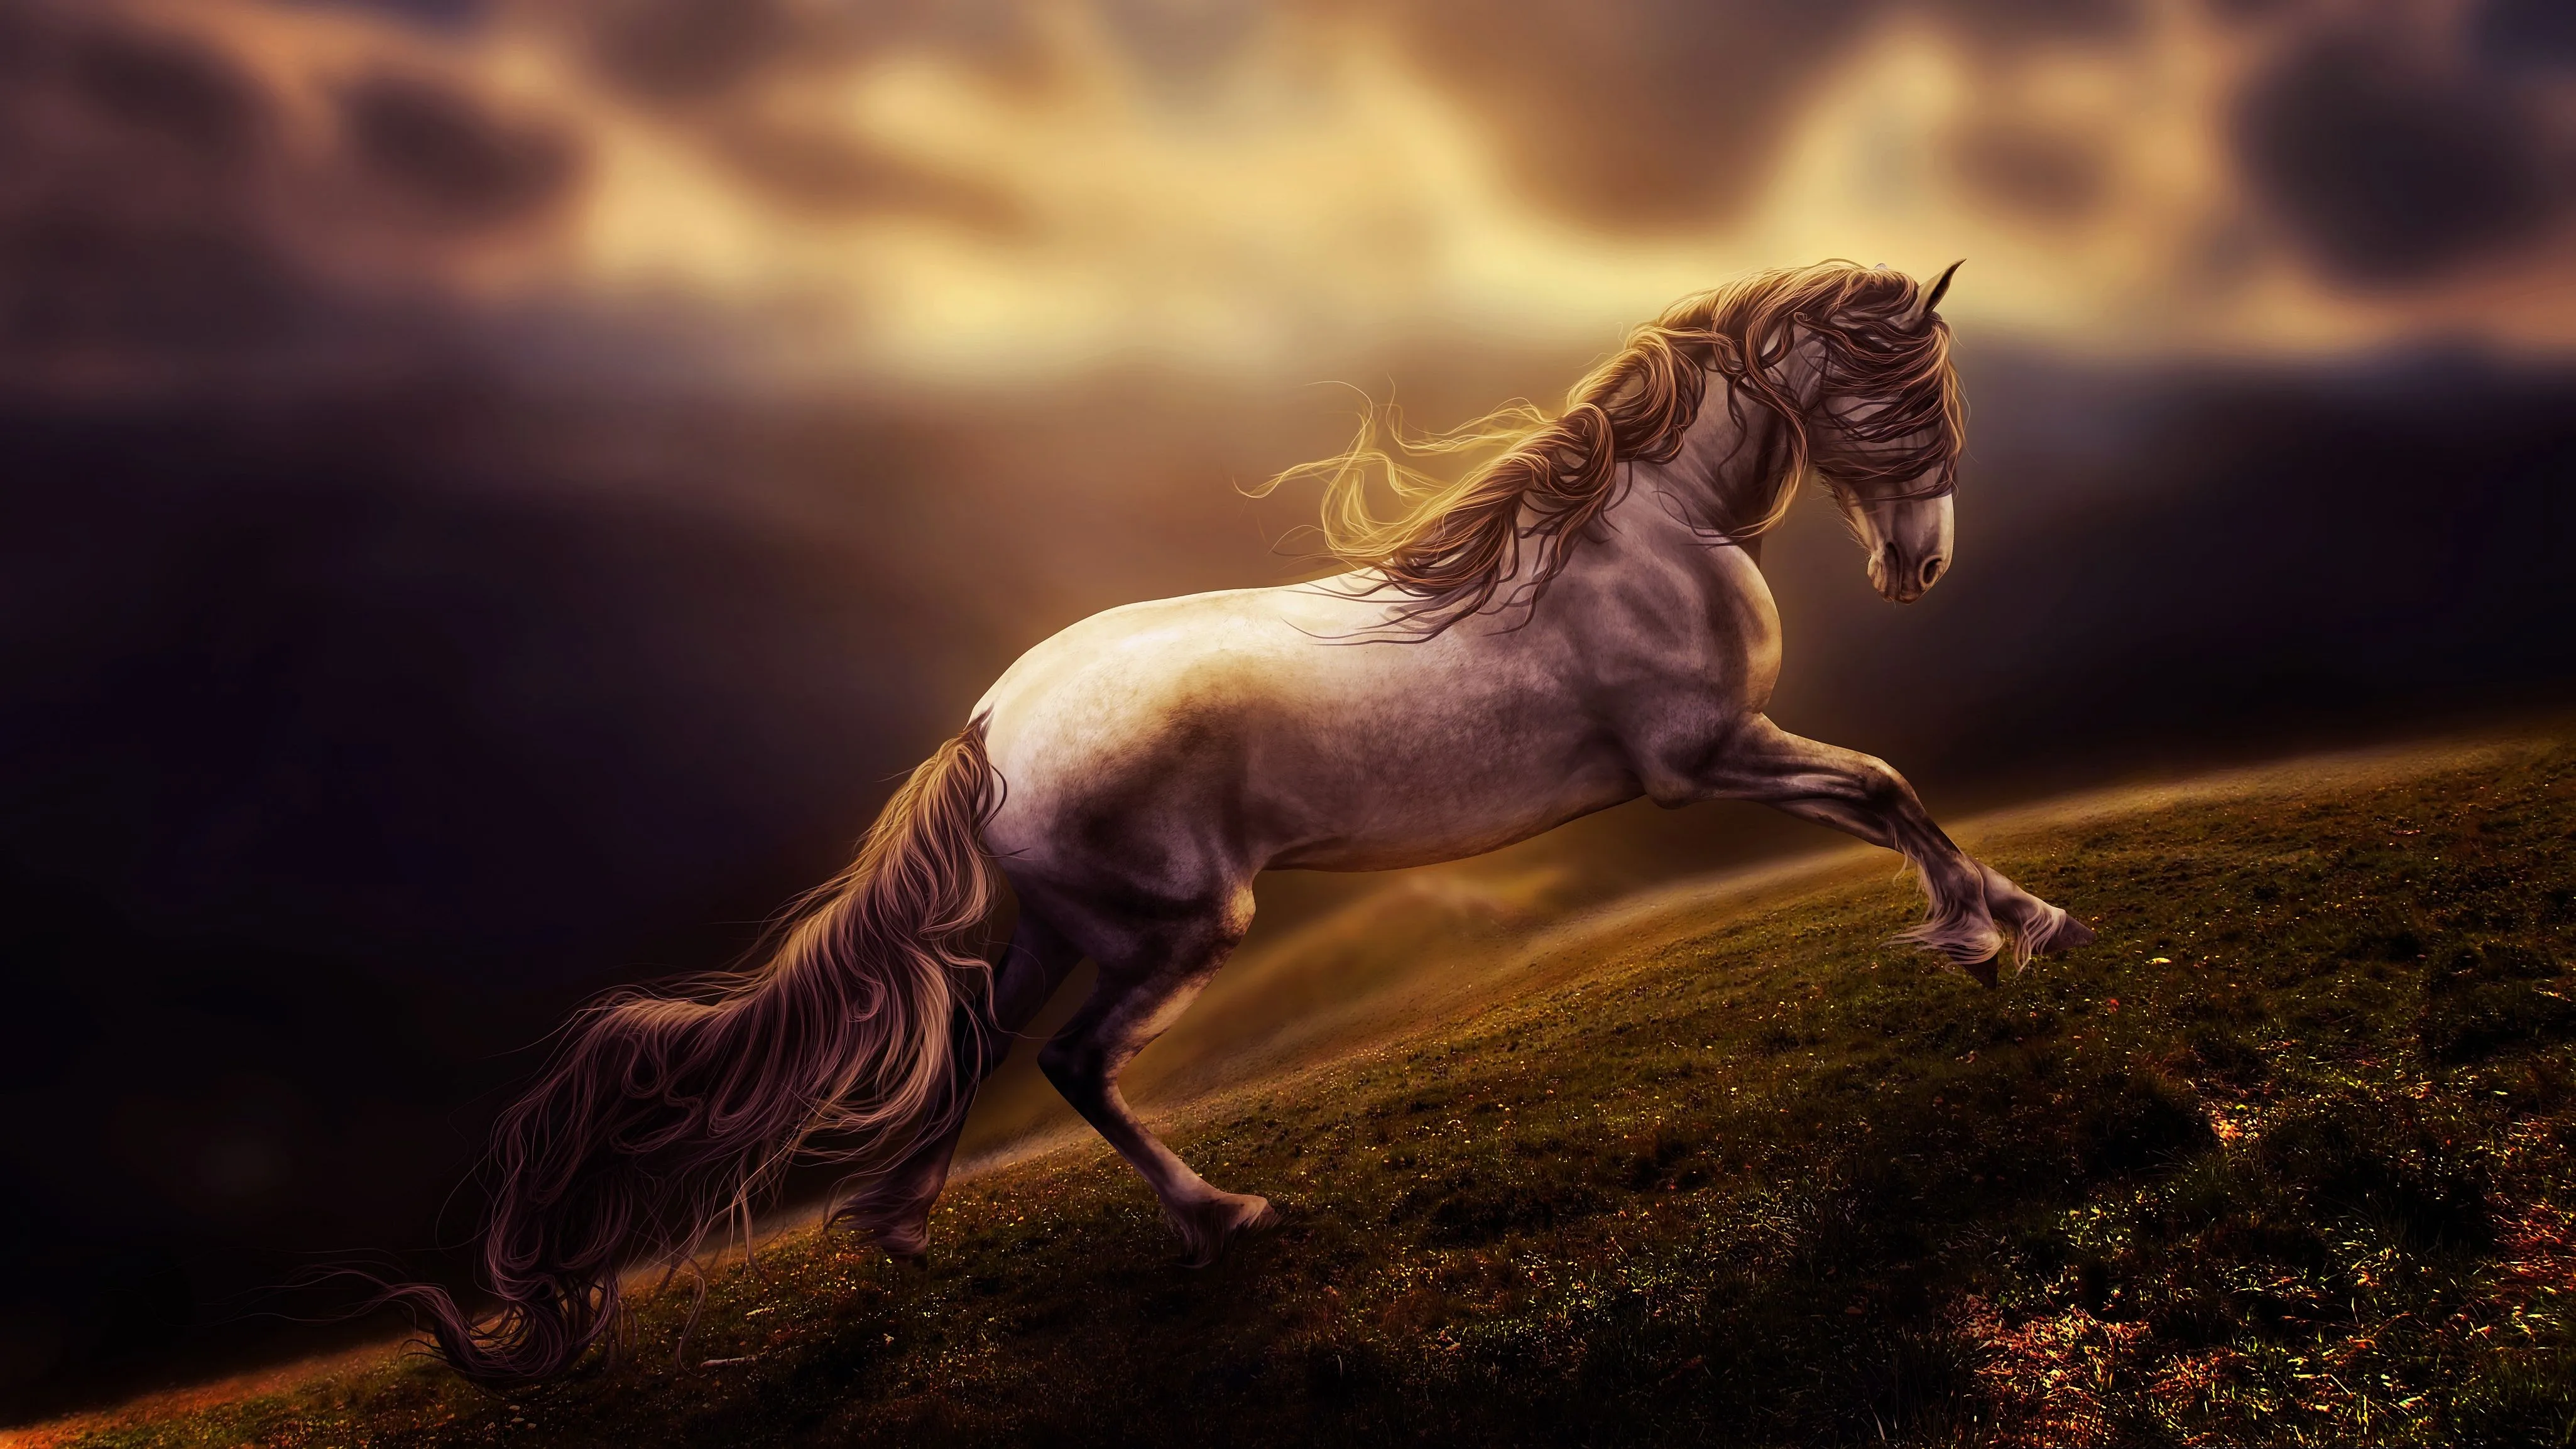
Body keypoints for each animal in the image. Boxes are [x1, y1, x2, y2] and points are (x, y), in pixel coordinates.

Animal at [396, 259, 2096, 1381]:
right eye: (1892, 396)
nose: (1917, 563)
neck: (1640, 533)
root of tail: (988, 727)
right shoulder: (1704, 758)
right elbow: (1881, 786)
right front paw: (1993, 929)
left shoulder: (1718, 757)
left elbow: (1882, 792)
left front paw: (2014, 920)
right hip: (1171, 930)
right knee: (1074, 1065)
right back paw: (1219, 1215)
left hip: (1057, 928)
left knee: (971, 1043)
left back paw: (896, 1228)